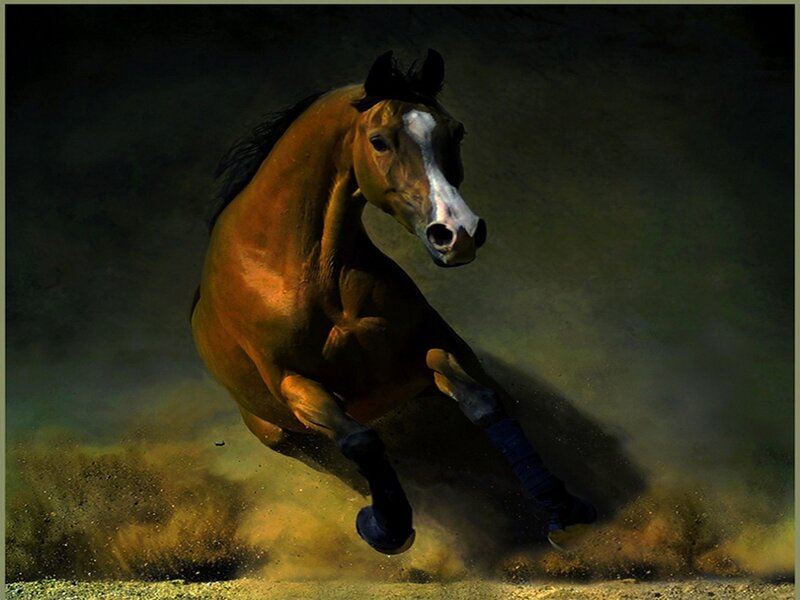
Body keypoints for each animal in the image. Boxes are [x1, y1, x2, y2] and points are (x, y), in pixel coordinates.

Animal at [191, 49, 596, 555]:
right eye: (379, 141)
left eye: (456, 131)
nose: (457, 233)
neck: (302, 269)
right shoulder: (294, 383)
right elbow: (362, 441)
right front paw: (386, 527)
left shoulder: (432, 348)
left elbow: (485, 403)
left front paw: (561, 507)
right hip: (276, 431)